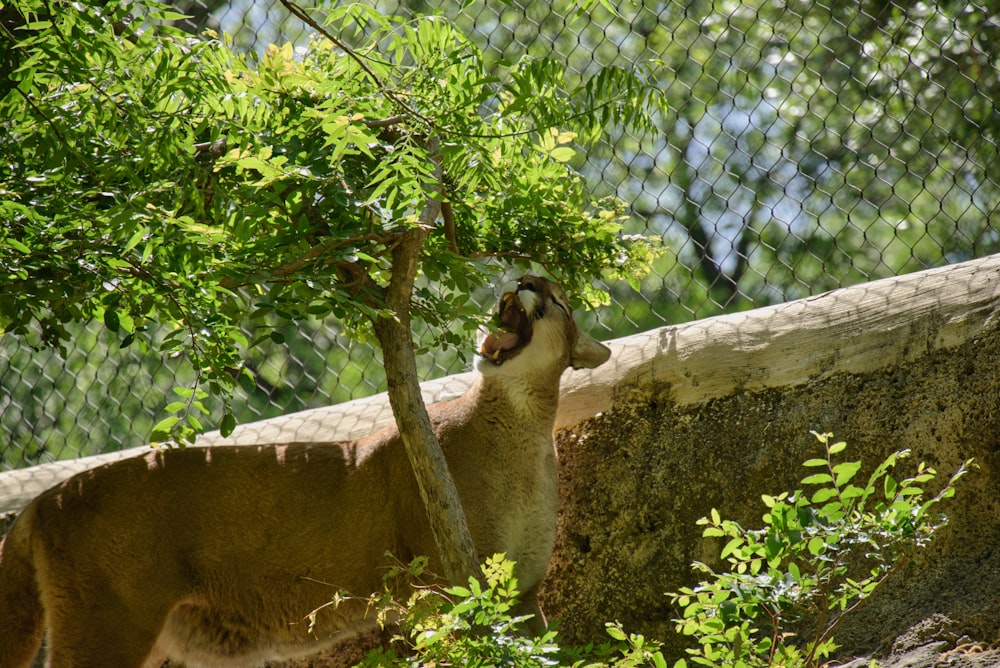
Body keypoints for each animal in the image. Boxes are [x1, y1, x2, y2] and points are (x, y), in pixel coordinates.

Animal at [0, 274, 608, 664]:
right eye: (533, 281)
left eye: (554, 297)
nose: (520, 281)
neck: (523, 423)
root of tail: (42, 500)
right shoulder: (448, 584)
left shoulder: (523, 594)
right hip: (110, 624)